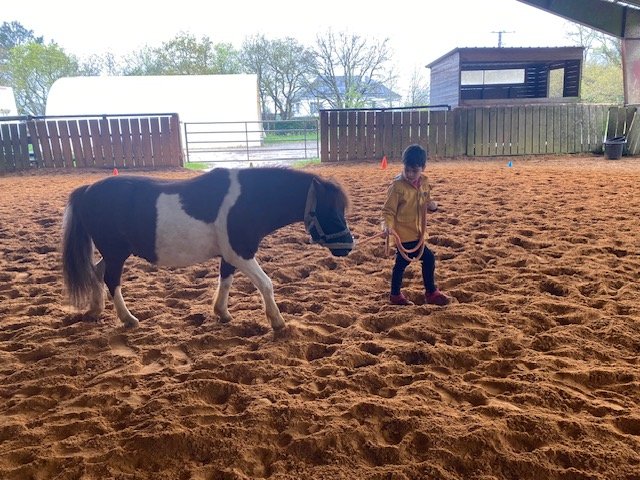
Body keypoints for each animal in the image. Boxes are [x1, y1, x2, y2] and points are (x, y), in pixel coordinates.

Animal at [61, 167, 354, 330]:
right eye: (331, 211)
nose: (348, 246)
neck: (248, 201)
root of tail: (87, 190)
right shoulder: (241, 252)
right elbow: (266, 284)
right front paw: (277, 321)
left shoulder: (230, 256)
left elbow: (225, 282)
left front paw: (222, 313)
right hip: (116, 253)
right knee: (111, 279)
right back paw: (128, 319)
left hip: (113, 253)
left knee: (96, 271)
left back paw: (96, 309)